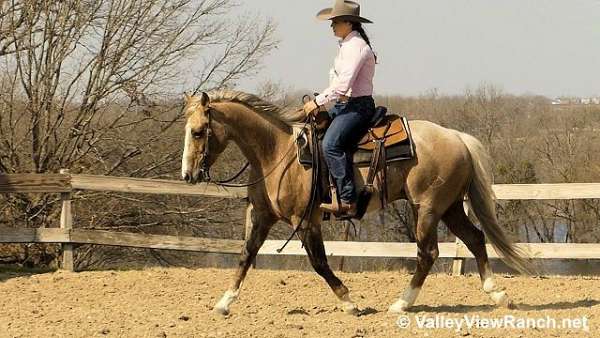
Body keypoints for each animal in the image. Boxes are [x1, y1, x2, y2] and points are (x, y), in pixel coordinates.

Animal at [179, 88, 528, 316]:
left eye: (197, 132)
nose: (187, 175)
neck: (277, 152)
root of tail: (457, 137)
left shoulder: (305, 221)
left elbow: (319, 263)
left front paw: (349, 301)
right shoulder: (263, 216)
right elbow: (245, 255)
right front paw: (224, 303)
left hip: (427, 208)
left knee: (428, 253)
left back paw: (401, 303)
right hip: (451, 207)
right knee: (475, 238)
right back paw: (497, 294)